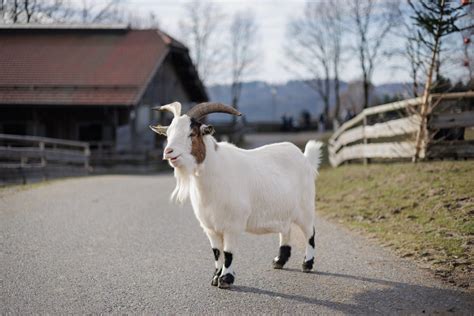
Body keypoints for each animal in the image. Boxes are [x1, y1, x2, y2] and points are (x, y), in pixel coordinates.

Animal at [150, 101, 324, 288]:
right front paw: (215, 277)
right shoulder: (210, 228)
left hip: (305, 208)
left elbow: (228, 253)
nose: (168, 152)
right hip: (284, 211)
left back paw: (307, 264)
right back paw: (279, 261)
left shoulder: (232, 225)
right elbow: (217, 252)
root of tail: (305, 158)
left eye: (192, 133)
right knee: (286, 231)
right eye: (168, 133)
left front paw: (226, 279)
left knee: (310, 232)